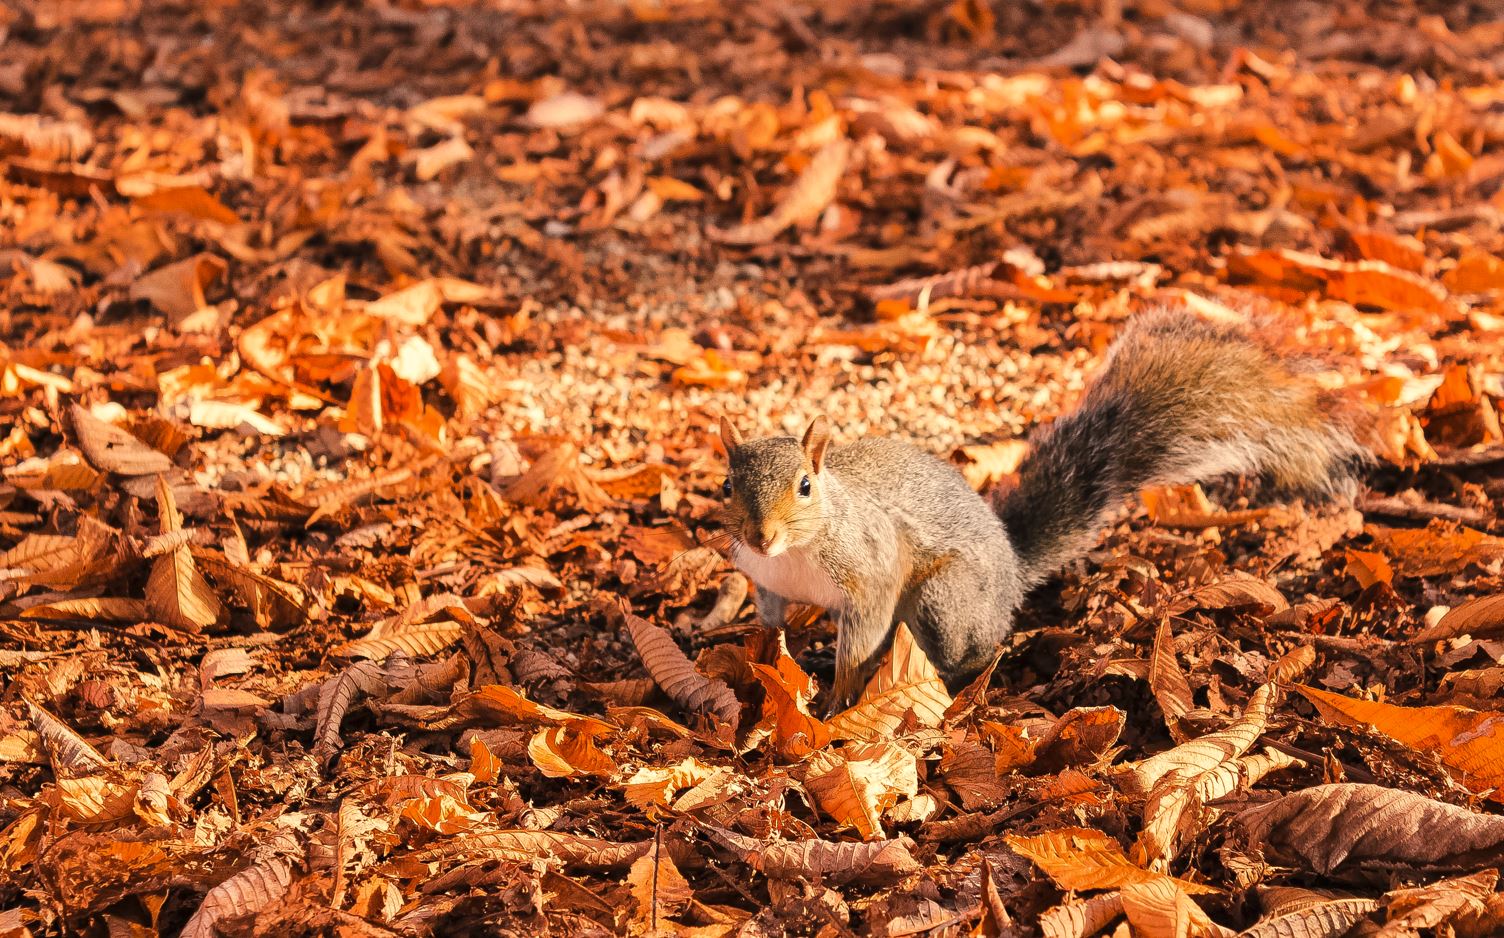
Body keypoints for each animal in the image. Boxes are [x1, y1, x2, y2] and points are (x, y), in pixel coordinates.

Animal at [721, 306, 1371, 709]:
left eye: (806, 485)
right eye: (728, 486)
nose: (761, 537)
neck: (797, 553)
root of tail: (1012, 574)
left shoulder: (871, 570)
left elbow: (862, 637)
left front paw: (838, 697)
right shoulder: (767, 584)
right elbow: (771, 624)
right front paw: (757, 657)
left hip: (945, 600)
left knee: (968, 652)